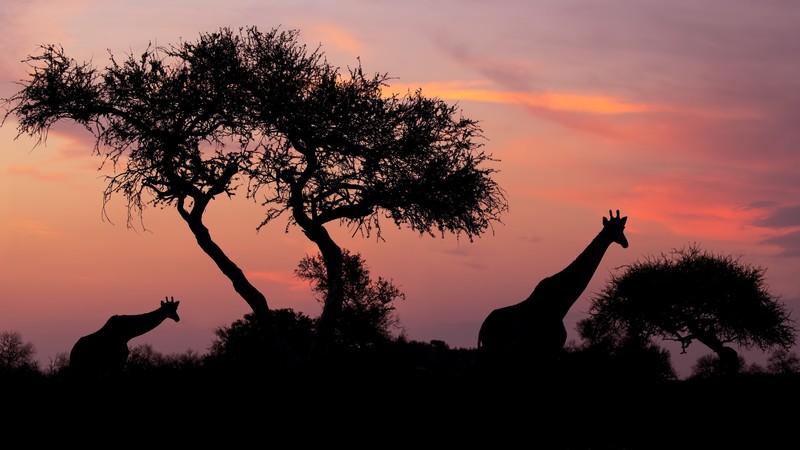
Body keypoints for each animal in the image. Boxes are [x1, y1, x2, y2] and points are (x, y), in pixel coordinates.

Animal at [477, 210, 628, 375]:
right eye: (613, 228)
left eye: (623, 227)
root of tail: (483, 328)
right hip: (494, 350)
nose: (625, 243)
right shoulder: (550, 348)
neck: (561, 304)